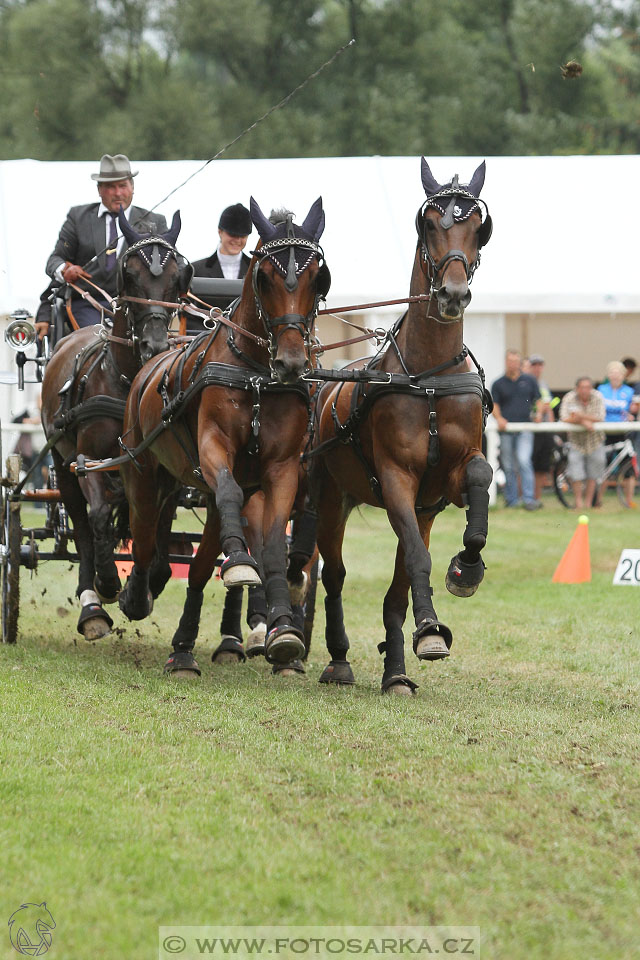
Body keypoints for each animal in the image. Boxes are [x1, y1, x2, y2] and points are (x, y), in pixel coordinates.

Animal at [39, 214, 190, 640]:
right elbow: (101, 519)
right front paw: (109, 583)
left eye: (178, 276)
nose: (155, 346)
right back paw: (91, 602)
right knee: (82, 525)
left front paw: (147, 586)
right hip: (62, 465)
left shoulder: (168, 472)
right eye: (130, 274)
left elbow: (157, 532)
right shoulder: (89, 460)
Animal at [117, 197, 332, 676]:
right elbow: (229, 496)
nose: (292, 362)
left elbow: (272, 544)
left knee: (197, 568)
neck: (256, 375)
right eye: (264, 277)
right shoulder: (214, 449)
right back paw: (137, 594)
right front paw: (238, 566)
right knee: (144, 537)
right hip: (142, 473)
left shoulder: (281, 469)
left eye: (318, 277)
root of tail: (151, 363)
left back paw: (183, 646)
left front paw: (283, 629)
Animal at [310, 161, 496, 692]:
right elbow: (417, 559)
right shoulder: (396, 480)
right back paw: (338, 657)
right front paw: (430, 627)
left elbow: (478, 479)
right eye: (429, 224)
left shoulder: (438, 489)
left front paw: (466, 569)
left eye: (479, 227)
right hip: (329, 498)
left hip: (418, 511)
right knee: (332, 574)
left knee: (392, 589)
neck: (426, 377)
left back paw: (393, 668)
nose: (453, 294)